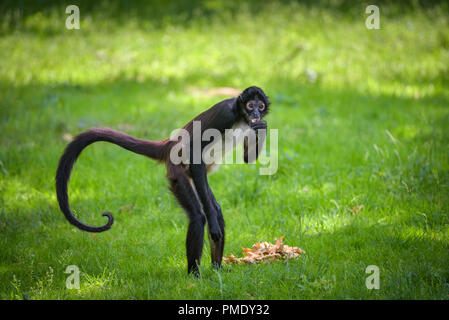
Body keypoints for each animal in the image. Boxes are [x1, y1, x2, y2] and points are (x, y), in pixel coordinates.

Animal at [57, 85, 272, 276]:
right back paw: (194, 275)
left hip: (193, 177)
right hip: (179, 172)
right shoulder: (225, 113)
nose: (256, 113)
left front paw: (262, 127)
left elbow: (248, 158)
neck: (241, 116)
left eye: (260, 106)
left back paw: (217, 269)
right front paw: (212, 225)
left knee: (215, 209)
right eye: (250, 105)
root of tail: (170, 145)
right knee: (198, 216)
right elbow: (195, 153)